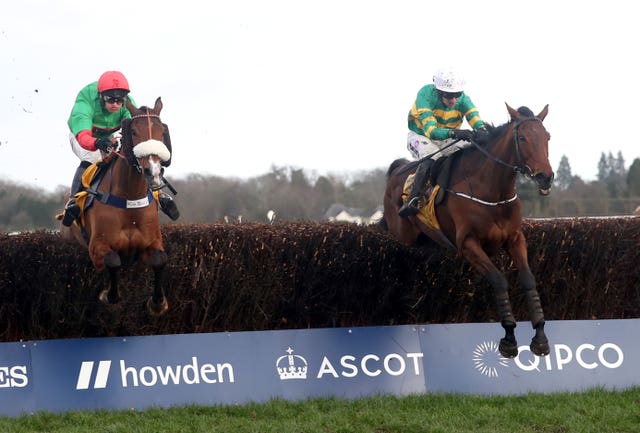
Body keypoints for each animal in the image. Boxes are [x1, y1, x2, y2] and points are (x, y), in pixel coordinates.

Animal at [60, 97, 172, 314]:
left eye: (162, 131)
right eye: (133, 132)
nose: (153, 172)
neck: (130, 198)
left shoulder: (150, 243)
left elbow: (160, 259)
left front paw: (158, 302)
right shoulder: (96, 247)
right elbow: (112, 261)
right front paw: (108, 294)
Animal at [382, 104, 552, 358]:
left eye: (547, 137)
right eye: (522, 138)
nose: (545, 177)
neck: (491, 190)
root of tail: (398, 168)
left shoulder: (515, 238)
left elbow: (528, 279)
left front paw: (540, 336)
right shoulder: (468, 244)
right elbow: (499, 280)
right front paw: (509, 338)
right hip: (402, 234)